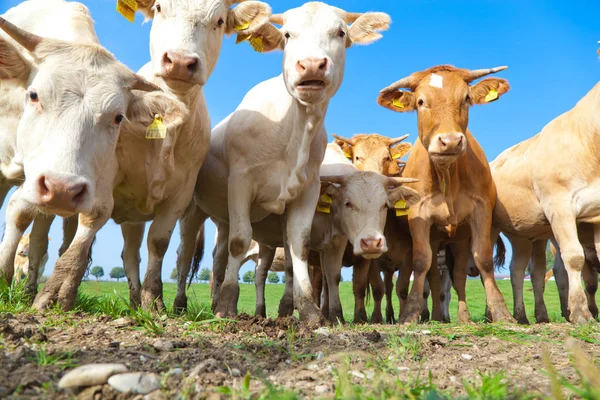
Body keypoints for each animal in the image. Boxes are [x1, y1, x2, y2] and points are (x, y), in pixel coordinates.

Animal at [171, 2, 392, 322]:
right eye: (287, 34)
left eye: (340, 33)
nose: (311, 64)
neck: (292, 127)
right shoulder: (240, 182)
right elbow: (240, 240)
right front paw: (227, 305)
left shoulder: (308, 191)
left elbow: (299, 248)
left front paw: (308, 309)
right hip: (192, 210)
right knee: (186, 253)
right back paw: (179, 303)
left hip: (221, 218)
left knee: (219, 256)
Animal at [378, 64, 512, 324]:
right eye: (420, 101)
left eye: (466, 98)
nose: (449, 141)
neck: (447, 176)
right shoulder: (419, 215)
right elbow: (421, 262)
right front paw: (410, 313)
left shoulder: (480, 211)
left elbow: (483, 259)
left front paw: (501, 311)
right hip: (436, 237)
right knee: (433, 274)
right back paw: (438, 316)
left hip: (458, 238)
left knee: (458, 276)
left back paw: (461, 316)